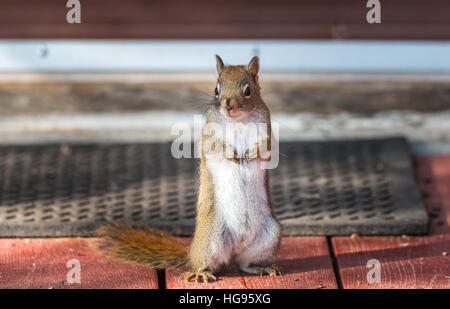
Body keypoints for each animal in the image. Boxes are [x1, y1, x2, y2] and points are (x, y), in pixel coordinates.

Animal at [98, 55, 282, 282]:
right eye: (216, 89)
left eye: (248, 90)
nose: (228, 105)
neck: (238, 120)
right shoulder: (209, 135)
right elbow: (214, 146)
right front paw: (231, 154)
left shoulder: (267, 131)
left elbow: (265, 146)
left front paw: (249, 154)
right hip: (211, 238)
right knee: (207, 263)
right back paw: (200, 273)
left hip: (269, 235)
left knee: (245, 263)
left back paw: (262, 267)